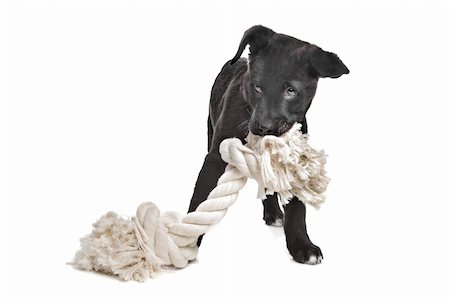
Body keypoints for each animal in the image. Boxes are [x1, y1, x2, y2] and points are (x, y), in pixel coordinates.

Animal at [188, 25, 350, 264]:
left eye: (291, 91)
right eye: (257, 87)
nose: (264, 127)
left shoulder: (295, 160)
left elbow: (297, 208)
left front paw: (302, 245)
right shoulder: (215, 156)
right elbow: (200, 196)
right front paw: (186, 241)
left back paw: (273, 213)